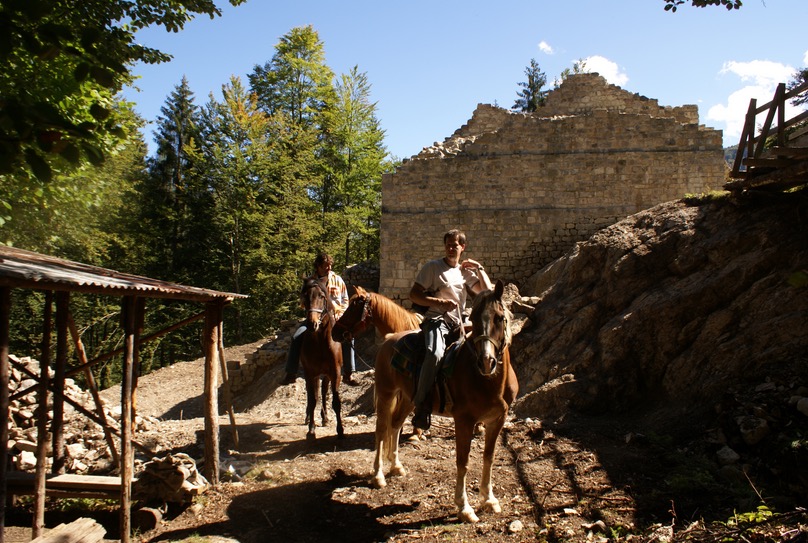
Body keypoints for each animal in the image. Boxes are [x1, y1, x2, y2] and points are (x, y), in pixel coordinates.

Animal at [300, 278, 344, 440]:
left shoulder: (336, 373)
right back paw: (308, 418)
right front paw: (311, 430)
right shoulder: (309, 373)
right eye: (305, 296)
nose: (312, 324)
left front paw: (340, 431)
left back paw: (325, 418)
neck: (320, 343)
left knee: (324, 392)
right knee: (313, 394)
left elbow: (336, 401)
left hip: (325, 375)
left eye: (322, 296)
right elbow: (312, 399)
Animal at [370, 280, 516, 524]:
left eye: (499, 318)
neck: (488, 380)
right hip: (386, 393)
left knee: (396, 425)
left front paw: (489, 500)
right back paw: (378, 475)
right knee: (381, 430)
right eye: (474, 318)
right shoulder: (464, 420)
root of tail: (390, 338)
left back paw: (396, 466)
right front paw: (464, 507)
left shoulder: (497, 419)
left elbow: (489, 457)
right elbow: (463, 461)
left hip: (410, 398)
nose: (486, 362)